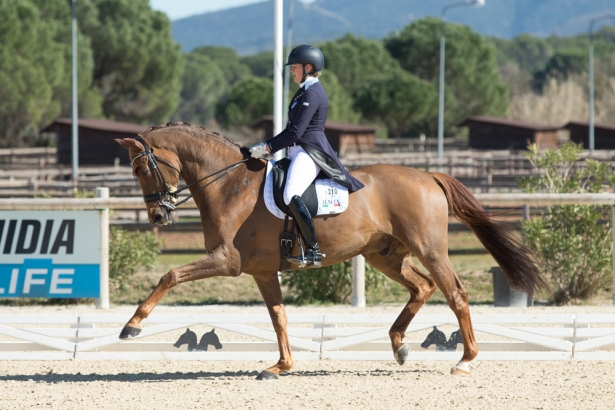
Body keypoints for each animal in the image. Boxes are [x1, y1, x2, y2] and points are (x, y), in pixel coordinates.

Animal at [114, 122, 544, 382]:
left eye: (141, 170)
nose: (157, 215)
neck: (230, 185)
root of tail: (428, 176)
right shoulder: (262, 272)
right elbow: (279, 318)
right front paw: (280, 366)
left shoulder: (227, 262)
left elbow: (169, 275)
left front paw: (132, 326)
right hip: (384, 255)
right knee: (422, 287)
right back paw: (399, 345)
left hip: (429, 248)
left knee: (455, 292)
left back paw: (465, 360)